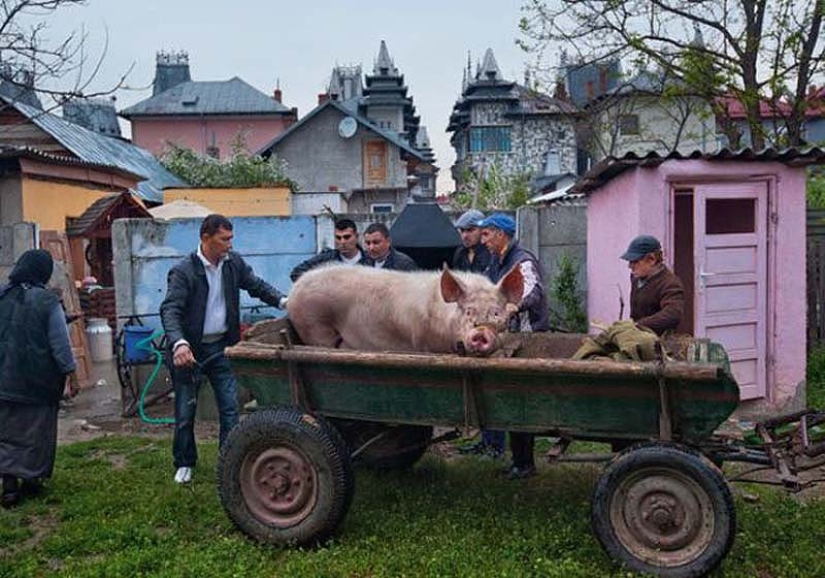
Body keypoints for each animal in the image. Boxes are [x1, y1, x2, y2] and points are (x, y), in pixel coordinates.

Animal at [286, 264, 524, 354]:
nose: (481, 332)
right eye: (467, 311)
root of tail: (293, 292)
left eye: (497, 312)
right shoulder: (425, 344)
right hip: (314, 327)